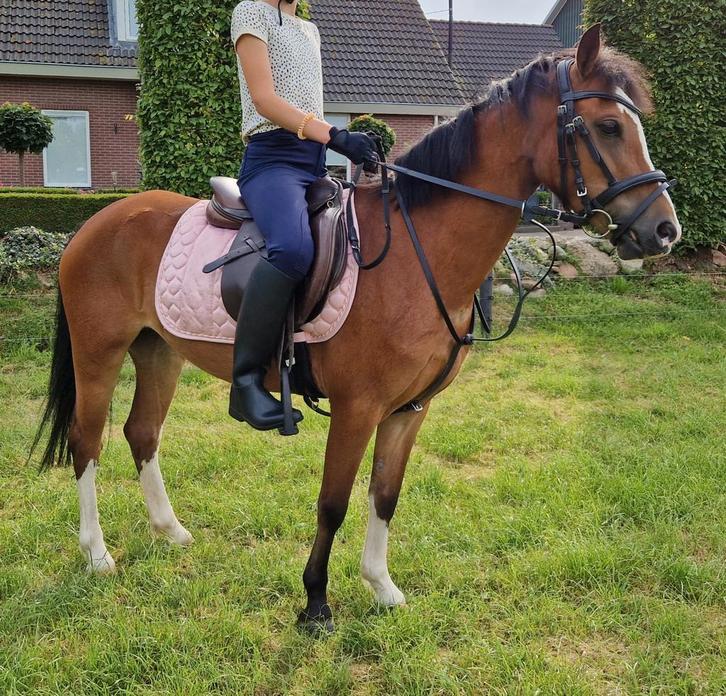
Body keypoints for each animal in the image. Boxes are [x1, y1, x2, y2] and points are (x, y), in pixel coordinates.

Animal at [31, 26, 680, 633]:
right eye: (608, 126)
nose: (664, 231)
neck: (417, 255)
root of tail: (95, 223)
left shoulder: (409, 408)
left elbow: (384, 495)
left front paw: (381, 586)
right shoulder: (357, 407)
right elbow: (333, 502)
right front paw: (315, 603)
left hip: (159, 352)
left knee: (142, 433)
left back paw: (170, 531)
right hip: (99, 353)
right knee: (87, 441)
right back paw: (97, 554)